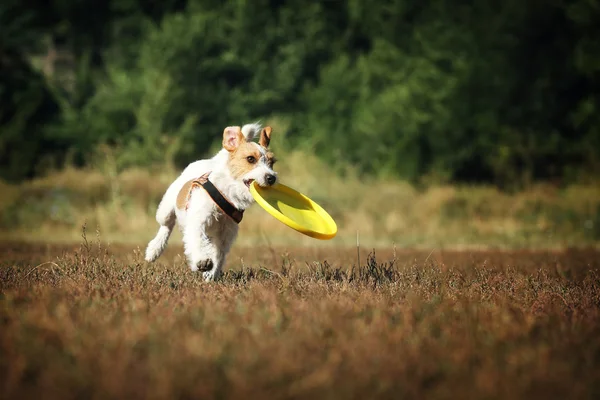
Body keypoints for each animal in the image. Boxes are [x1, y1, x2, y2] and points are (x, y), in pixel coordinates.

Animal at [144, 122, 278, 282]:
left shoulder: (225, 234)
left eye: (272, 162)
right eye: (250, 159)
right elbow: (197, 240)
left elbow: (218, 254)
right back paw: (154, 250)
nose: (271, 178)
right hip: (166, 208)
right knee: (166, 226)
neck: (226, 195)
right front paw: (202, 261)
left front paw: (211, 275)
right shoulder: (197, 221)